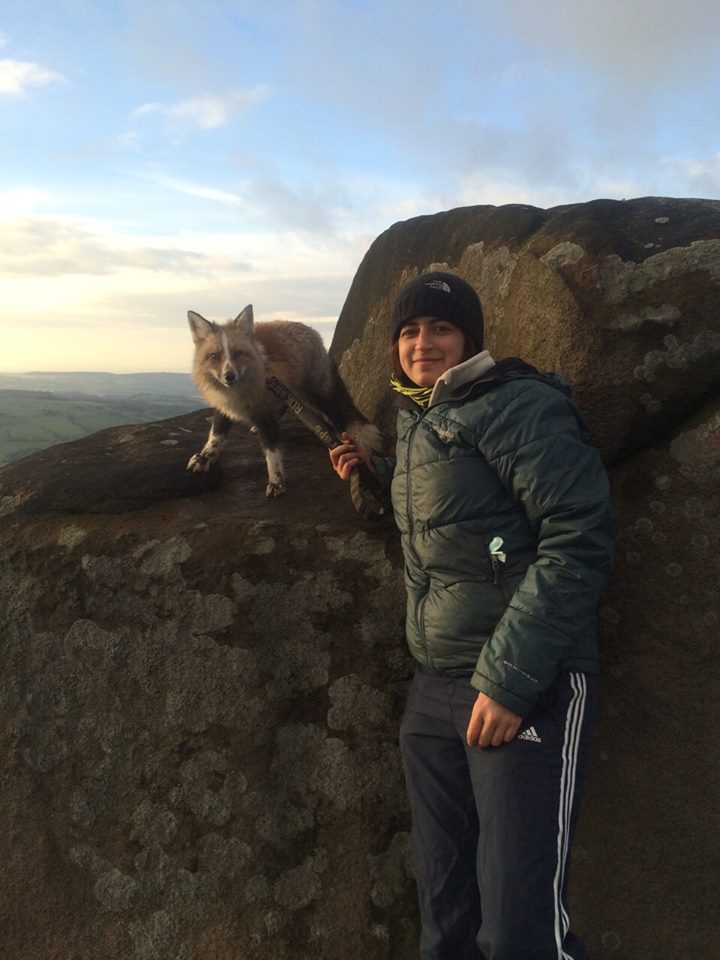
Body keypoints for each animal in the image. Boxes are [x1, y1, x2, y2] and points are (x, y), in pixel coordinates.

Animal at [186, 306, 380, 502]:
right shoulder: (224, 408)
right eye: (214, 356)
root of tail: (309, 329)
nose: (229, 376)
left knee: (336, 415)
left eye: (238, 353)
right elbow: (215, 437)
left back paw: (345, 446)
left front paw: (276, 482)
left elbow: (272, 454)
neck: (237, 395)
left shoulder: (264, 416)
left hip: (315, 395)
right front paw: (205, 458)